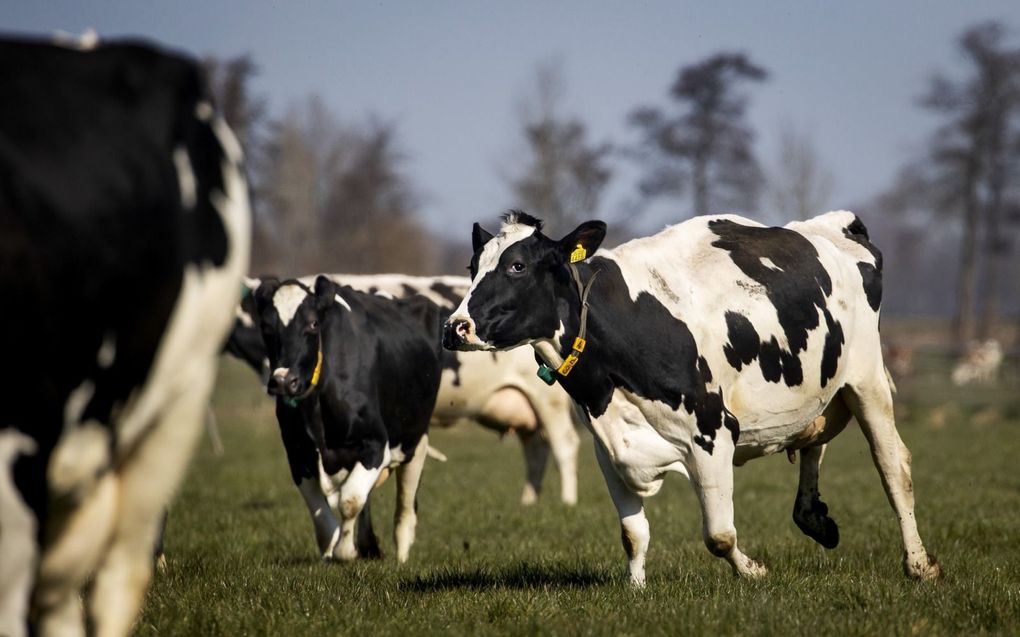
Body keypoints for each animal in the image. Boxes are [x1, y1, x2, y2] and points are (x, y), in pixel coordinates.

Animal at [231, 273, 583, 507]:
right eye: (267, 325)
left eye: (311, 325)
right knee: (536, 447)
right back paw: (528, 501)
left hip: (548, 398)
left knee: (563, 444)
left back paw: (566, 501)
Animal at [251, 275, 442, 558]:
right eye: (265, 326)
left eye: (313, 323)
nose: (284, 381)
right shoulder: (296, 451)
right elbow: (319, 510)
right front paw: (333, 546)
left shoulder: (376, 443)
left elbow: (350, 499)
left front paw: (345, 551)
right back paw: (368, 545)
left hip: (415, 439)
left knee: (406, 504)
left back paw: (401, 553)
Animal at [444, 209, 938, 587]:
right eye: (472, 268)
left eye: (517, 267)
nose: (454, 327)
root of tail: (831, 223)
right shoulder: (609, 449)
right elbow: (633, 533)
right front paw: (637, 589)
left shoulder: (713, 432)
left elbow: (719, 534)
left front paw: (753, 571)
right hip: (820, 385)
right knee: (813, 439)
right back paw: (814, 516)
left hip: (866, 380)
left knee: (894, 468)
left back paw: (918, 564)